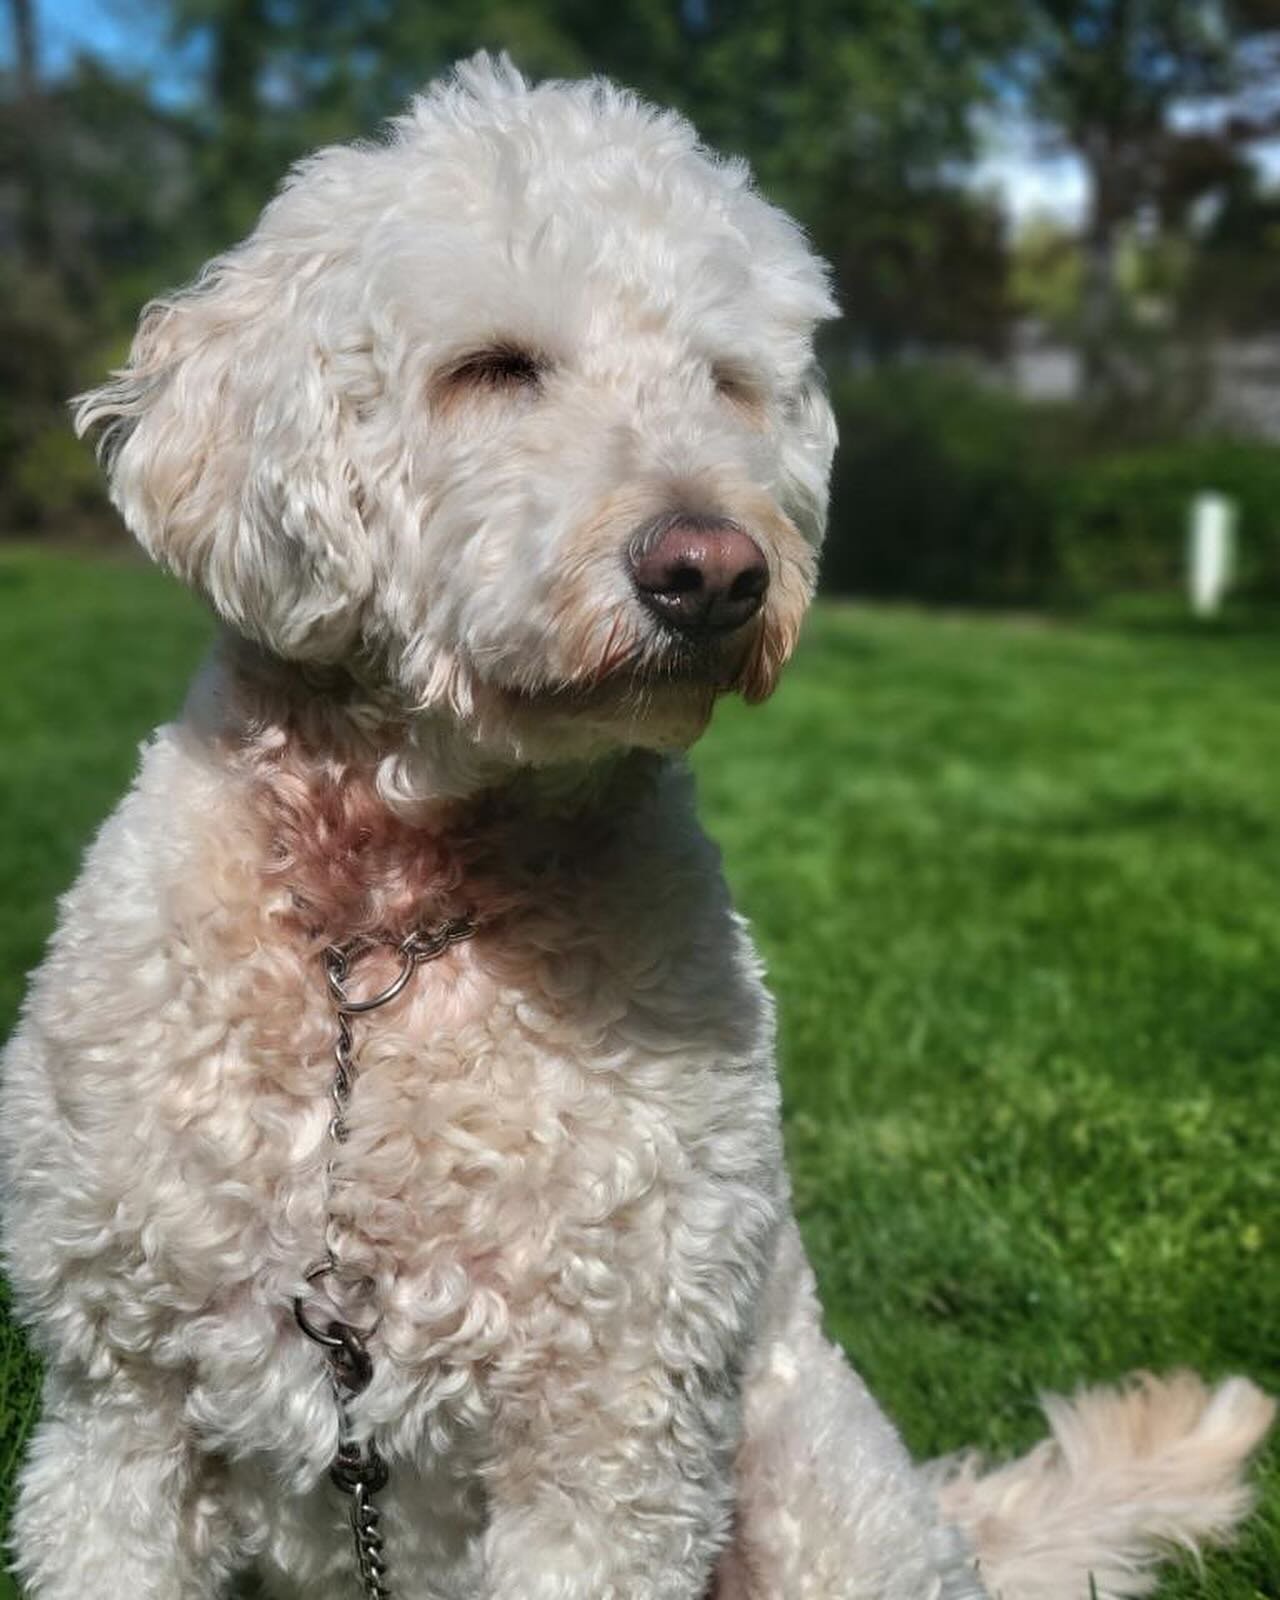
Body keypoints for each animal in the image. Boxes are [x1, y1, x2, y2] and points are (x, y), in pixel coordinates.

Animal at [0, 53, 1267, 1600]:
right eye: (494, 368)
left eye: (727, 383)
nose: (713, 570)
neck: (385, 935)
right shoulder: (115, 1423)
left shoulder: (617, 1453)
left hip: (816, 1491)